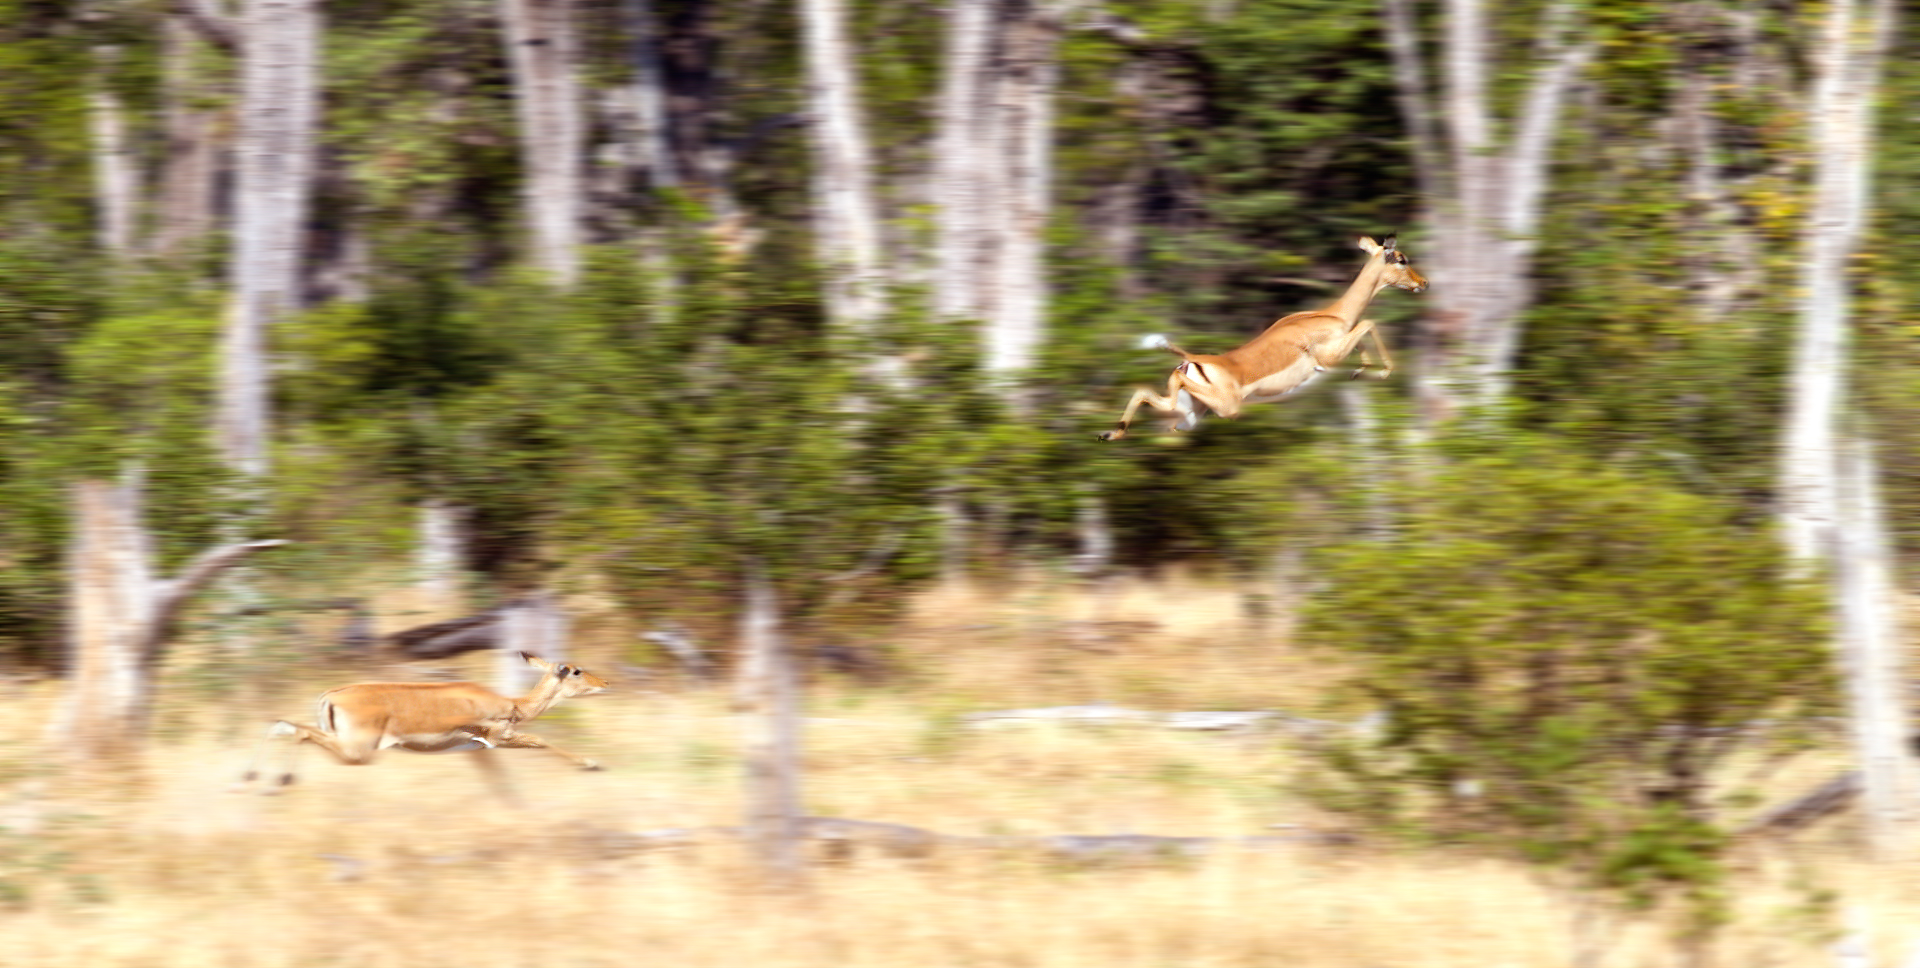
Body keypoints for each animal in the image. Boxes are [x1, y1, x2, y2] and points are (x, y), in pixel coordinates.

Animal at [237, 652, 608, 800]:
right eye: (575, 670)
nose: (605, 683)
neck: (513, 704)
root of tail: (331, 693)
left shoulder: (476, 749)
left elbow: (499, 781)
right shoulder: (497, 738)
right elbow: (542, 741)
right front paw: (593, 764)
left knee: (281, 724)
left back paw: (251, 780)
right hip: (358, 751)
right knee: (296, 730)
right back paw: (276, 782)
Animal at [1097, 236, 1426, 441]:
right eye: (1400, 258)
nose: (1424, 283)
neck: (1332, 315)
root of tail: (1191, 360)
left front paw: (1362, 369)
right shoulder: (1329, 359)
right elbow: (1369, 323)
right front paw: (1379, 371)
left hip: (1191, 415)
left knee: (1147, 396)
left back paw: (1109, 434)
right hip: (1225, 408)